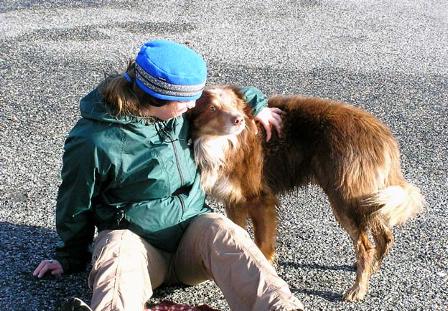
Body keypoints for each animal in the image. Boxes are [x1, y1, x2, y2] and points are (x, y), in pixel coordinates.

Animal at [188, 85, 424, 302]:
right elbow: (239, 238)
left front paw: (263, 274)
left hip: (345, 199)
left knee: (365, 246)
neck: (219, 144)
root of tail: (383, 135)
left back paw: (358, 289)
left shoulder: (261, 201)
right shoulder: (234, 201)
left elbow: (261, 246)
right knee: (384, 236)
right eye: (211, 108)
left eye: (234, 105)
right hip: (369, 198)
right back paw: (371, 269)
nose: (238, 120)